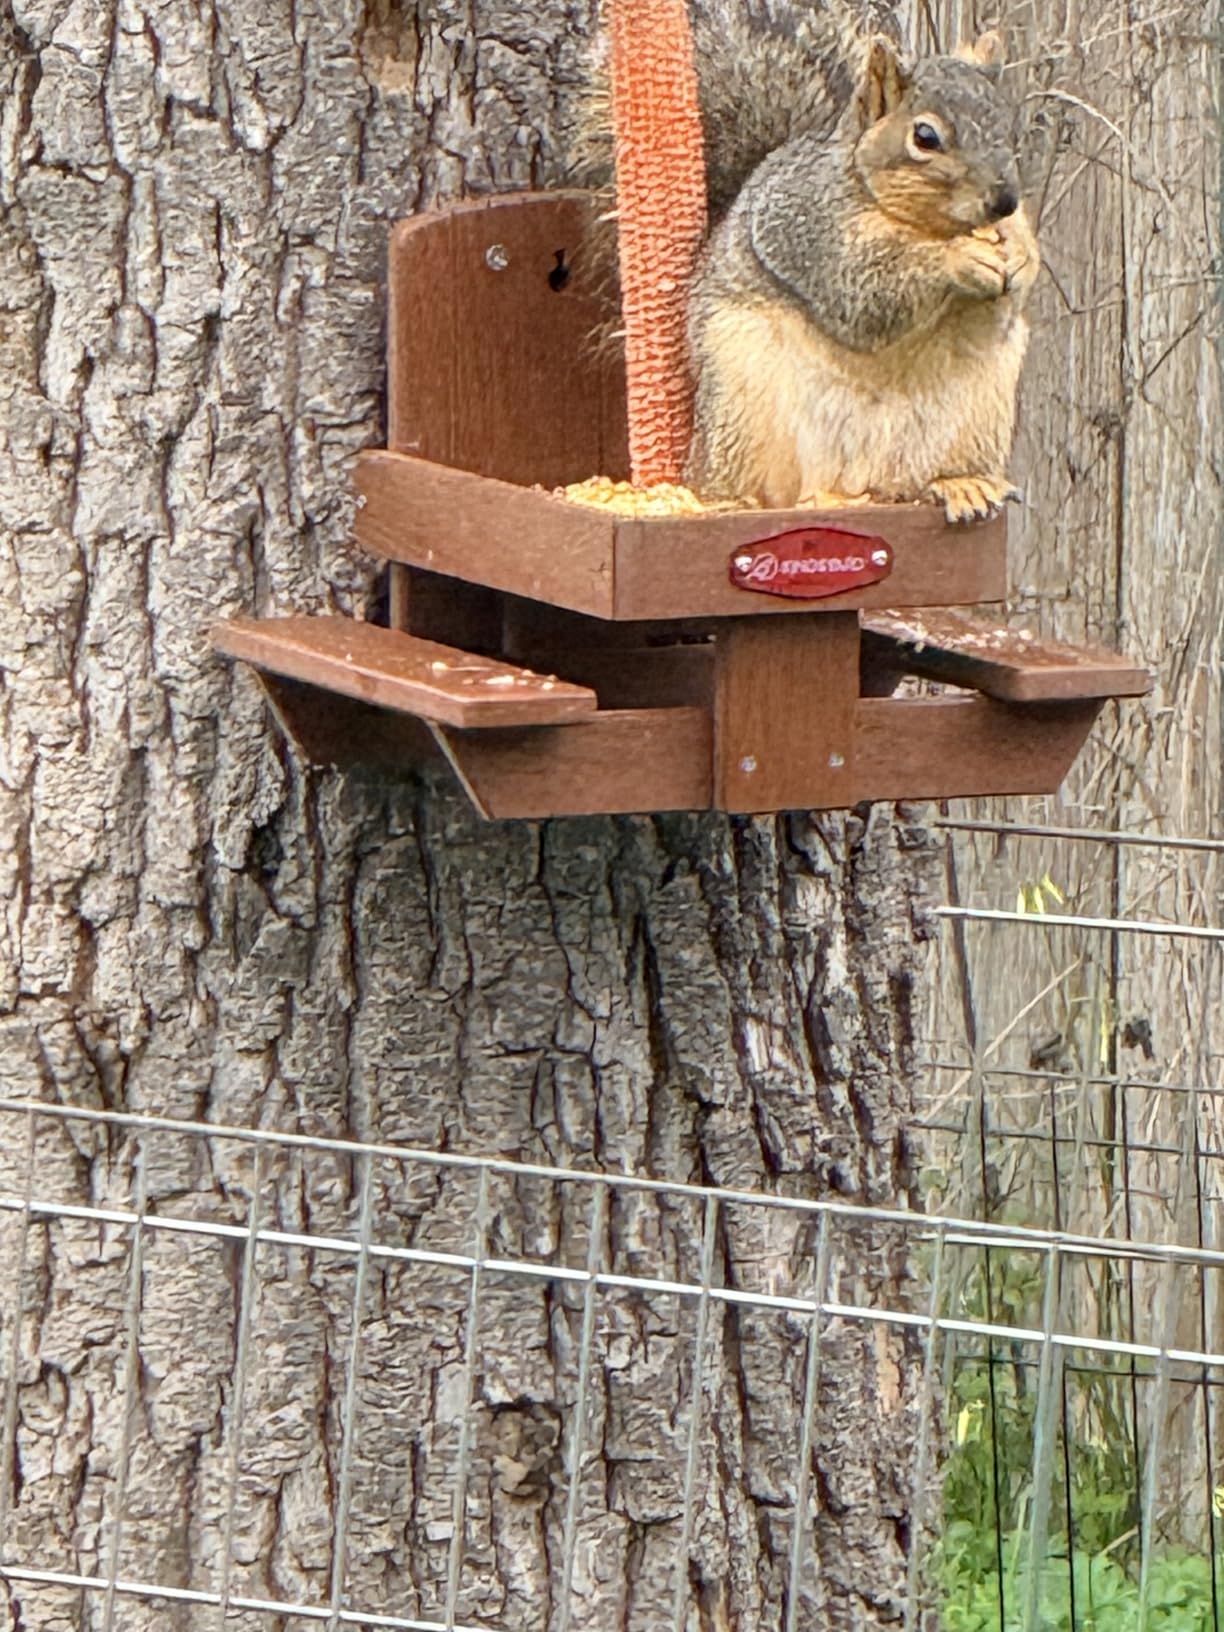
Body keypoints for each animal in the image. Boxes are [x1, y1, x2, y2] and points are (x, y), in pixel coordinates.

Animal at [581, 4, 1040, 525]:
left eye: (1006, 124)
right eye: (925, 136)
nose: (1004, 199)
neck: (919, 224)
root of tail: (853, 485)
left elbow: (1011, 293)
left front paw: (1020, 255)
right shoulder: (811, 231)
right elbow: (864, 290)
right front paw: (959, 258)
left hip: (979, 416)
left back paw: (962, 484)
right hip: (742, 407)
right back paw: (732, 501)